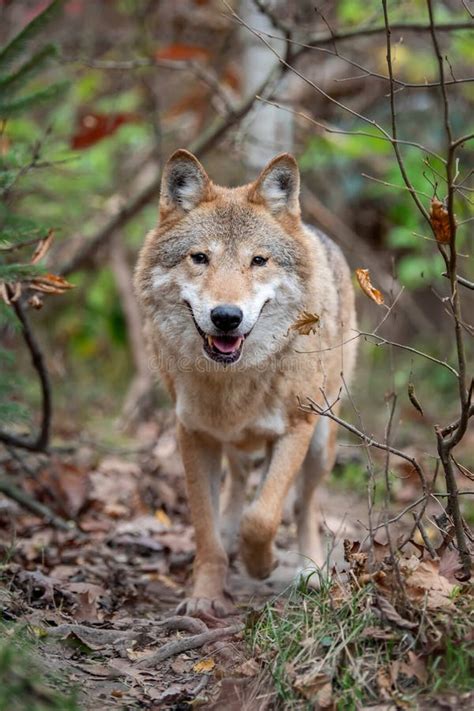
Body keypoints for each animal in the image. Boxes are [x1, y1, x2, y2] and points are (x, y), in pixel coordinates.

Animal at [133, 149, 356, 616]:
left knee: (303, 505)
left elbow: (264, 516)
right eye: (200, 258)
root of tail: (318, 234)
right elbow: (206, 530)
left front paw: (262, 563)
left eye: (259, 260)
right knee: (237, 483)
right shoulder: (193, 434)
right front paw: (204, 597)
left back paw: (311, 571)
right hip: (236, 445)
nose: (226, 317)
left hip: (321, 442)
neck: (232, 381)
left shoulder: (297, 428)